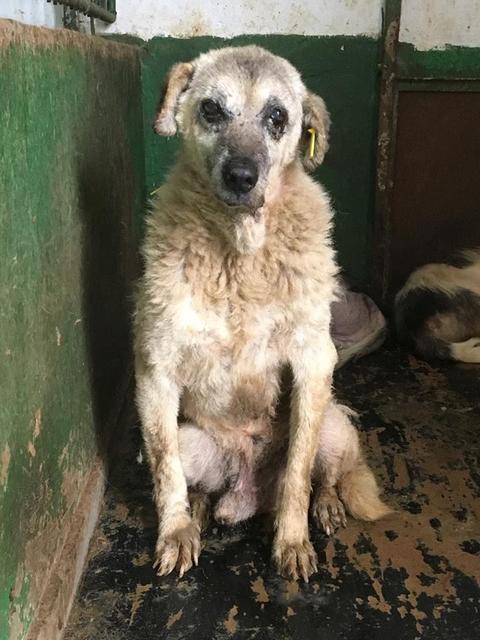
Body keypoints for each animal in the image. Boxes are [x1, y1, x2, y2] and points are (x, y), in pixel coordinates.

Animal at [134, 47, 390, 584]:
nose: (241, 176)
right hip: (192, 441)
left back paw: (327, 506)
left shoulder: (314, 365)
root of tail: (248, 493)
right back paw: (201, 511)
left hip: (335, 422)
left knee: (323, 477)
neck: (240, 254)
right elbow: (166, 473)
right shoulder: (155, 371)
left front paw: (292, 541)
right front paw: (175, 533)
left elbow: (297, 473)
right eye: (211, 109)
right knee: (192, 482)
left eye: (278, 117)